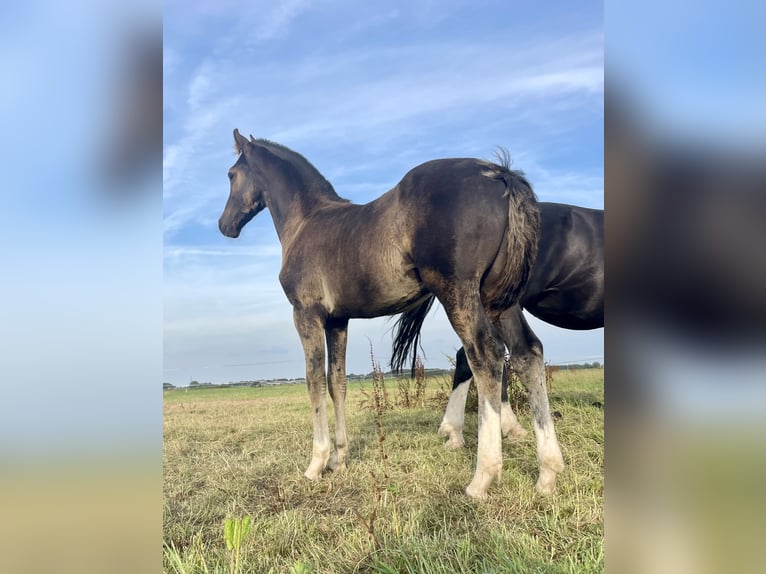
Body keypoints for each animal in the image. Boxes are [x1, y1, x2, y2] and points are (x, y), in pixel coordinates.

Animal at [219, 133, 544, 502]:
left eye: (231, 174)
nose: (224, 225)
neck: (305, 221)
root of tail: (499, 173)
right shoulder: (338, 321)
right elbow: (337, 383)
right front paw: (339, 458)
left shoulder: (306, 313)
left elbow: (314, 382)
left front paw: (316, 463)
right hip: (499, 299)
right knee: (528, 353)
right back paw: (548, 474)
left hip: (459, 293)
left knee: (486, 355)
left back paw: (482, 478)